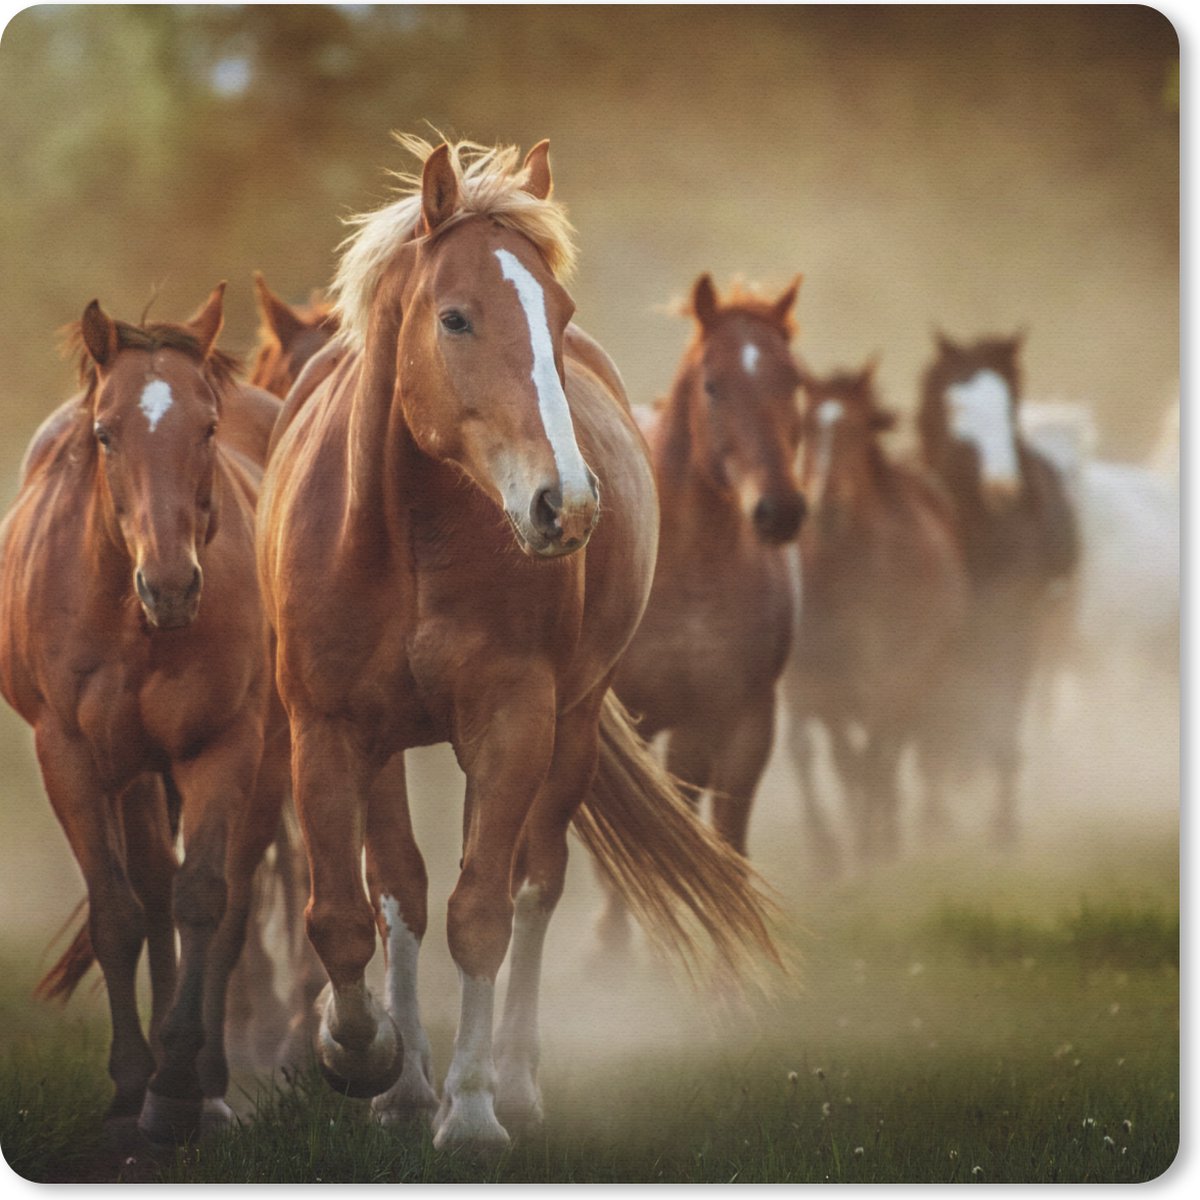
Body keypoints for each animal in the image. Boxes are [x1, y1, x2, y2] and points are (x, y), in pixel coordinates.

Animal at [0, 286, 288, 1142]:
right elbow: (119, 913)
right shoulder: (69, 754)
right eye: (105, 432)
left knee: (223, 901)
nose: (171, 586)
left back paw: (205, 1081)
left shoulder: (226, 746)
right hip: (131, 771)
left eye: (208, 427)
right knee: (151, 889)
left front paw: (180, 1086)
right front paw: (134, 1081)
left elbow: (206, 898)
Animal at [256, 136, 780, 1151]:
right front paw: (365, 1056)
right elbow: (349, 912)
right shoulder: (325, 729)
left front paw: (470, 1110)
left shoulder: (512, 722)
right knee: (402, 888)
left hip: (565, 728)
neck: (407, 535)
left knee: (532, 884)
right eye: (456, 317)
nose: (564, 504)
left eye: (558, 315)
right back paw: (404, 1084)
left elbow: (485, 913)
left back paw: (511, 1081)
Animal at [782, 360, 968, 864]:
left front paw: (876, 845)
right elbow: (847, 762)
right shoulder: (822, 684)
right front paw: (852, 849)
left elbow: (878, 758)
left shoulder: (899, 674)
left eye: (857, 428)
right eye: (805, 427)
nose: (825, 505)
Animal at [913, 331, 1079, 843]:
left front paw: (1003, 825)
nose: (1002, 488)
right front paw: (934, 820)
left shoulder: (1018, 627)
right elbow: (935, 722)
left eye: (1009, 407)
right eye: (955, 405)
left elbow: (1005, 716)